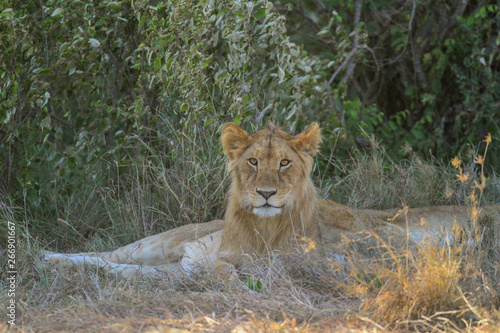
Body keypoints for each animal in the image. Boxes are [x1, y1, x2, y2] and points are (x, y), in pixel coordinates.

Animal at [42, 121, 500, 274]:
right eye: (252, 162)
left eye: (283, 163)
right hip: (159, 243)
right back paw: (46, 258)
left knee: (118, 264)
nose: (264, 193)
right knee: (112, 254)